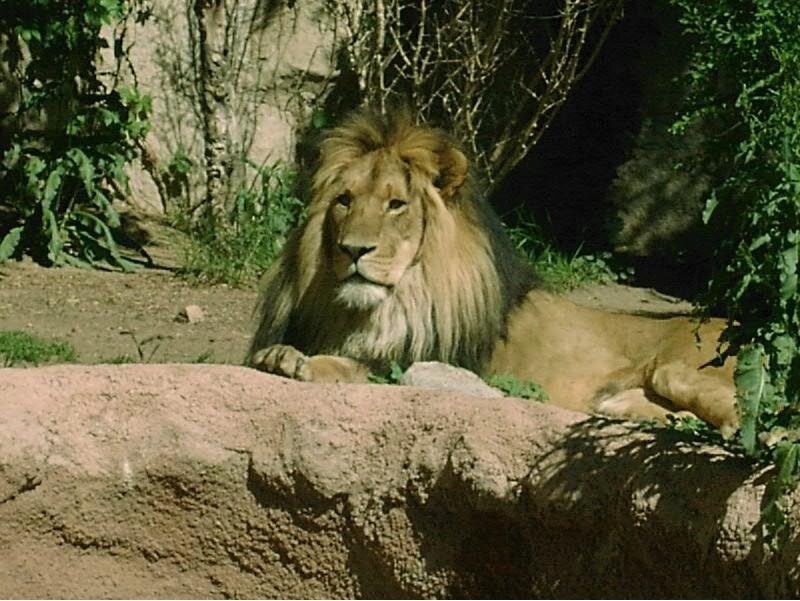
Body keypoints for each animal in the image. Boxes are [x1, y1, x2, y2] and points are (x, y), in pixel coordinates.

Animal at [248, 109, 739, 436]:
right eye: (344, 201)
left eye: (396, 204)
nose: (352, 250)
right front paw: (280, 354)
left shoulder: (435, 365)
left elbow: (354, 367)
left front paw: (292, 360)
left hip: (675, 368)